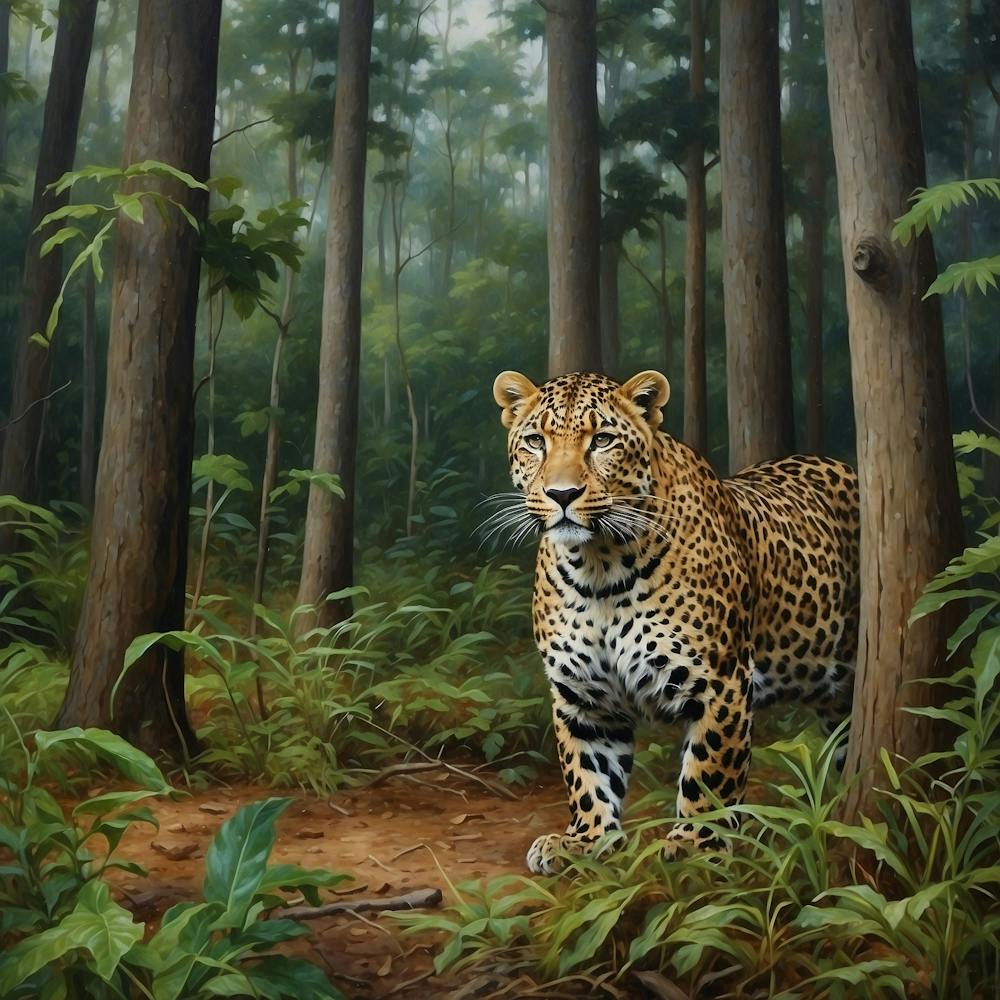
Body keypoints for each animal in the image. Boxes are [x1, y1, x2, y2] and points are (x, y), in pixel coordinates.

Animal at [491, 368, 860, 874]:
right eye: (535, 441)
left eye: (602, 440)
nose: (562, 494)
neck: (598, 569)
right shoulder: (582, 697)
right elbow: (587, 774)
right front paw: (585, 841)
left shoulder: (721, 683)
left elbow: (709, 773)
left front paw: (696, 846)